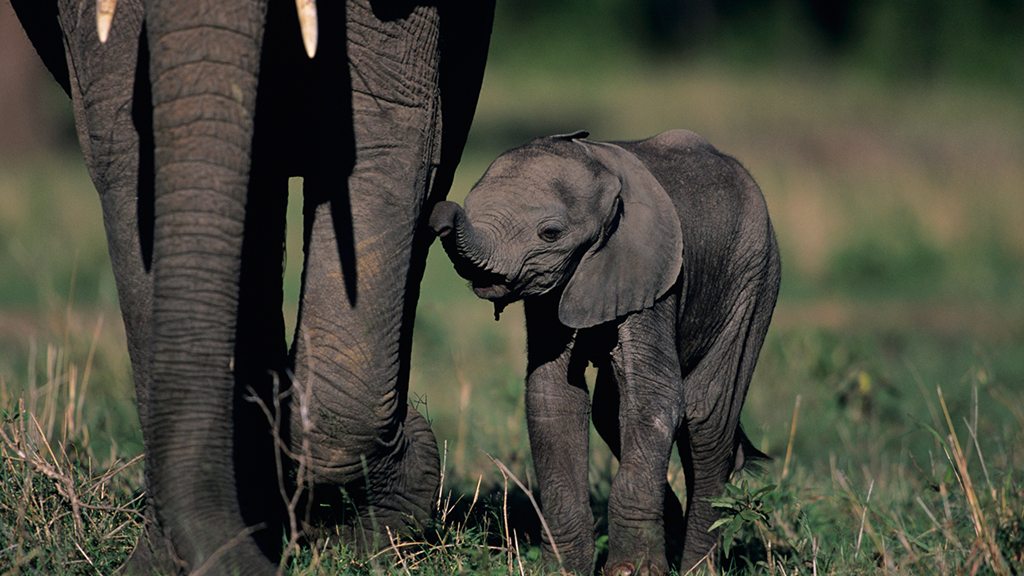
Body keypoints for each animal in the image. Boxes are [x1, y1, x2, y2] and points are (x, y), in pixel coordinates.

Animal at [428, 130, 778, 573]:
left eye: (550, 233)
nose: (440, 209)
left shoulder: (652, 271)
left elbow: (655, 401)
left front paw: (633, 571)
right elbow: (554, 399)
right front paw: (561, 569)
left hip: (755, 278)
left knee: (707, 419)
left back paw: (697, 564)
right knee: (610, 415)